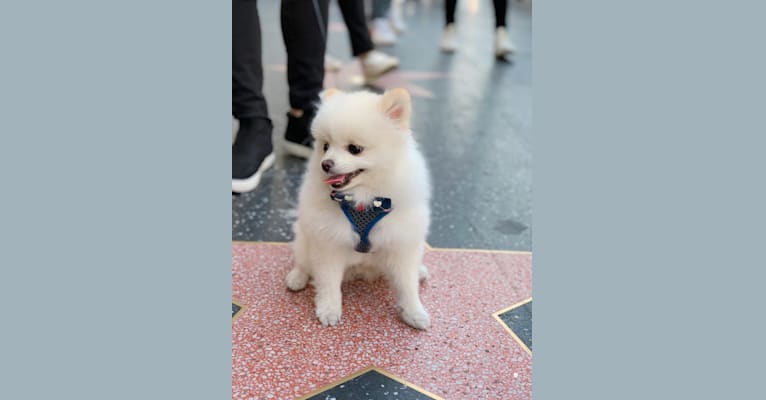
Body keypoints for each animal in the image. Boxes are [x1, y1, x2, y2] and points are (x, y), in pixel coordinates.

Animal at [286, 89, 436, 330]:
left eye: (354, 149)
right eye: (325, 146)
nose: (325, 164)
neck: (363, 197)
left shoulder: (401, 241)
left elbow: (406, 284)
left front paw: (414, 312)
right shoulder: (328, 242)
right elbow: (328, 283)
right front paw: (329, 310)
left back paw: (420, 271)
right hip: (304, 238)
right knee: (303, 261)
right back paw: (297, 277)